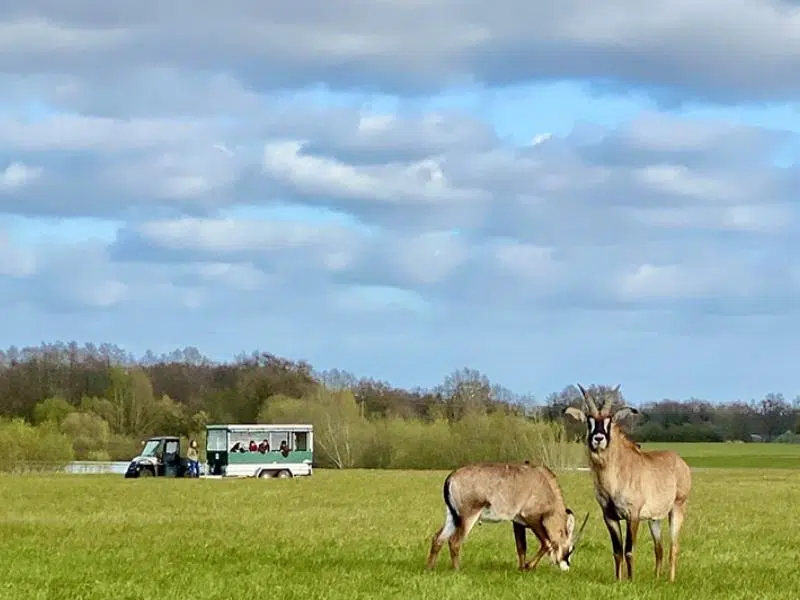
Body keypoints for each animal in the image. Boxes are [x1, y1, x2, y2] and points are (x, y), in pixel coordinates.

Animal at [424, 462, 588, 576]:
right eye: (571, 549)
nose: (566, 567)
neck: (544, 484)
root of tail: (451, 477)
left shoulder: (517, 521)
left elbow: (521, 546)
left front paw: (522, 568)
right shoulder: (532, 518)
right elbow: (546, 543)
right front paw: (528, 567)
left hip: (452, 516)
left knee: (438, 538)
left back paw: (430, 568)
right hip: (468, 516)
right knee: (454, 541)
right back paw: (457, 570)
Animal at [564, 384, 692, 580]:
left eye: (609, 421)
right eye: (589, 420)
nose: (598, 438)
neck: (615, 477)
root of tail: (680, 462)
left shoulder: (633, 515)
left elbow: (629, 550)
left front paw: (630, 580)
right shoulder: (609, 516)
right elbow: (617, 551)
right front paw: (618, 580)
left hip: (677, 508)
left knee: (673, 546)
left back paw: (670, 580)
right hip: (654, 519)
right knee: (659, 548)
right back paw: (656, 579)